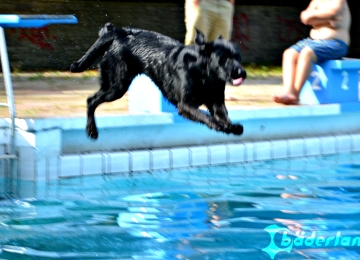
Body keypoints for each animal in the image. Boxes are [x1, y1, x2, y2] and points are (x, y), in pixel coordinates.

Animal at [70, 23, 246, 139]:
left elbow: (222, 115)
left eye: (238, 57)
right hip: (116, 86)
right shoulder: (185, 104)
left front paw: (231, 126)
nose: (242, 73)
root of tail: (121, 32)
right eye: (225, 58)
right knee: (91, 100)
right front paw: (219, 125)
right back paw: (92, 130)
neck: (204, 74)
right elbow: (206, 116)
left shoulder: (217, 103)